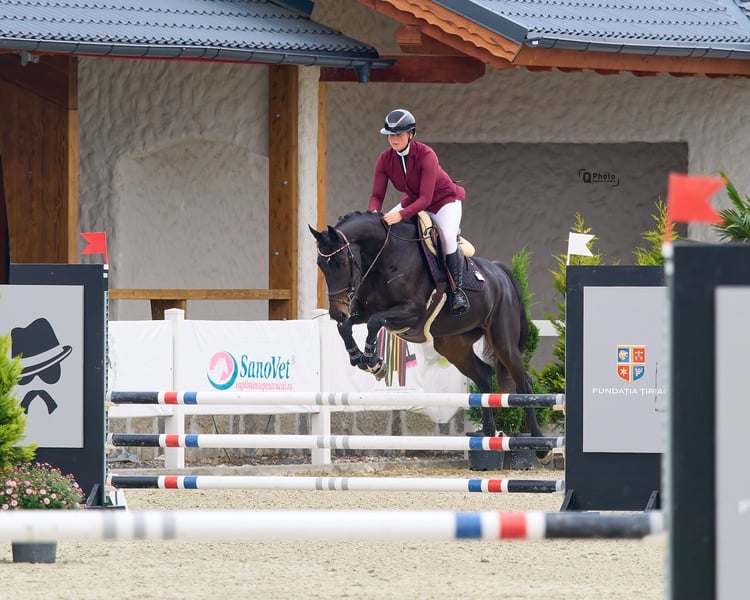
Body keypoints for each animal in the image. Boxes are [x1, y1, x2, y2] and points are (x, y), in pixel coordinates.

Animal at [309, 210, 546, 449]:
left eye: (341, 262)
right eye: (320, 264)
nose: (336, 312)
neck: (384, 257)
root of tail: (500, 272)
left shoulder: (411, 313)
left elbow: (375, 322)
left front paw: (373, 362)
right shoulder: (363, 311)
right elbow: (345, 327)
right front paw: (359, 358)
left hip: (502, 341)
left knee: (523, 383)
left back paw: (538, 443)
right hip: (453, 346)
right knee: (483, 375)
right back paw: (488, 435)